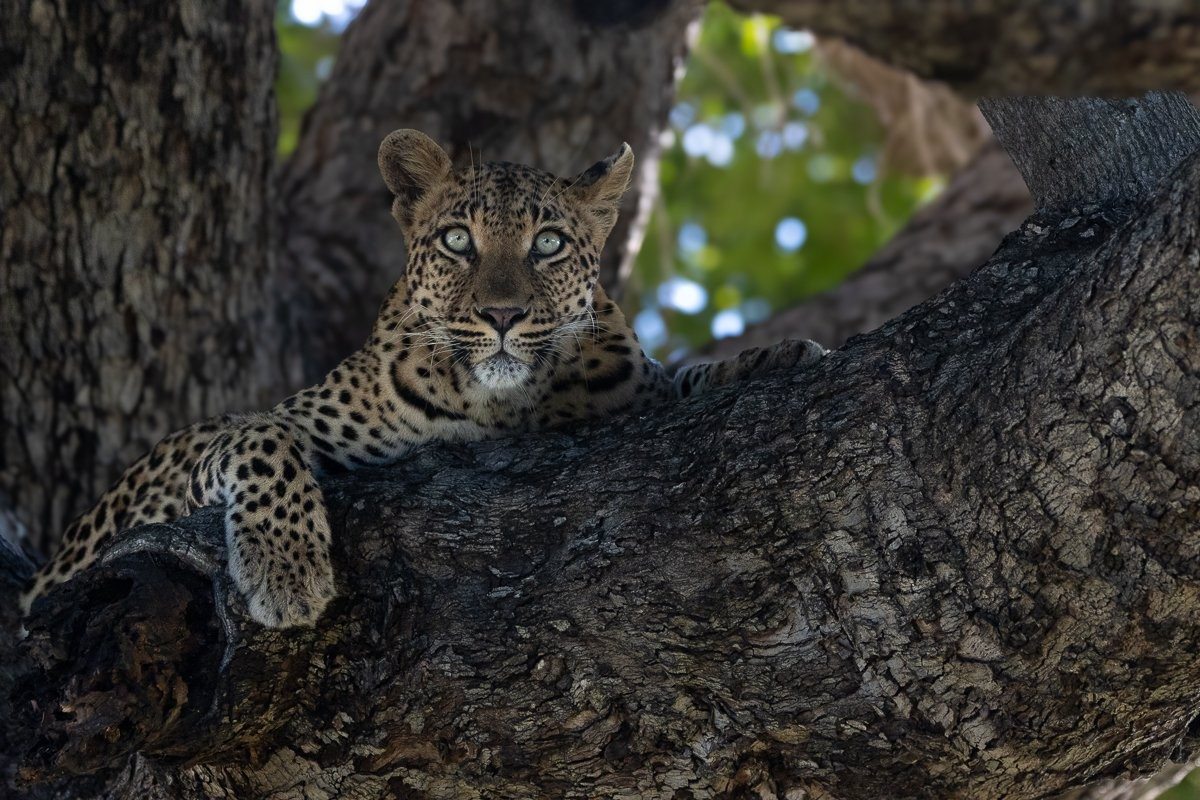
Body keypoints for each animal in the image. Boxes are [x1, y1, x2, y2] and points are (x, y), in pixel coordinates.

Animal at [21, 129, 826, 628]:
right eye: (457, 240)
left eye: (549, 244)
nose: (501, 315)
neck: (504, 406)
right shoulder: (249, 437)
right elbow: (259, 439)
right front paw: (286, 569)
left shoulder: (635, 395)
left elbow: (681, 382)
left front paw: (778, 356)